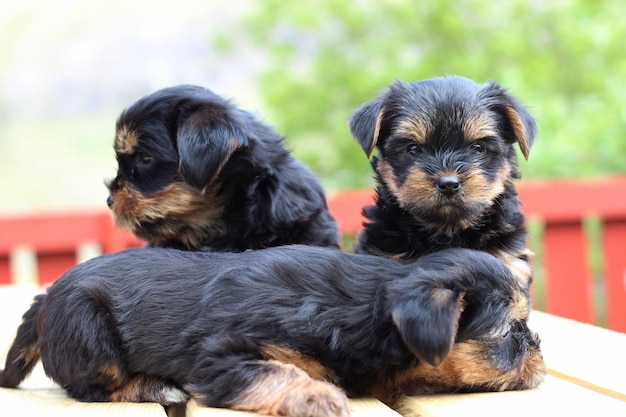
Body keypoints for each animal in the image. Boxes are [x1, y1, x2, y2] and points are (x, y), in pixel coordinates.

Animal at [1, 245, 540, 414]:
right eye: (513, 332)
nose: (538, 347)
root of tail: (46, 297)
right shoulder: (220, 357)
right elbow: (278, 372)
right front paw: (317, 396)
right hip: (88, 333)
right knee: (93, 387)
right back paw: (156, 387)